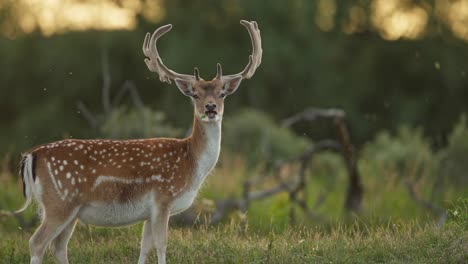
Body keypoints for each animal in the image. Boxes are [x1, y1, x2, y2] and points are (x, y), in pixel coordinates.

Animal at [13, 19, 264, 262]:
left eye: (222, 93)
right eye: (195, 94)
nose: (210, 108)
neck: (191, 162)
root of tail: (31, 155)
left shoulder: (149, 212)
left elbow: (144, 247)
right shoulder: (163, 198)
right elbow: (162, 245)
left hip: (70, 209)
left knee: (58, 246)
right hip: (60, 202)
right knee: (37, 242)